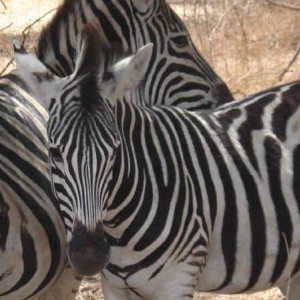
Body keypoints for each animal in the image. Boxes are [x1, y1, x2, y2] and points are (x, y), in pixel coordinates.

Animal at [14, 24, 300, 298]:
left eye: (115, 151)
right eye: (55, 153)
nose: (89, 257)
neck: (119, 233)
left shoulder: (179, 279)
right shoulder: (114, 286)